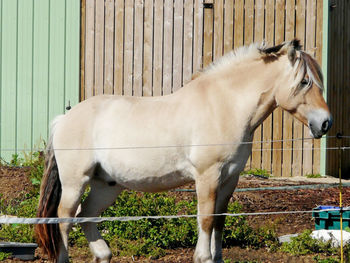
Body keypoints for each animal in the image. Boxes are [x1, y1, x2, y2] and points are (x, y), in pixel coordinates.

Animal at [36, 39, 334, 263]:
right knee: (64, 218)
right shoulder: (207, 176)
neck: (224, 106)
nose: (325, 123)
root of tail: (65, 118)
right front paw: (203, 257)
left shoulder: (230, 179)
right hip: (76, 181)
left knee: (86, 214)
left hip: (106, 185)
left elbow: (219, 221)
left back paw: (103, 254)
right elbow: (205, 219)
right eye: (305, 81)